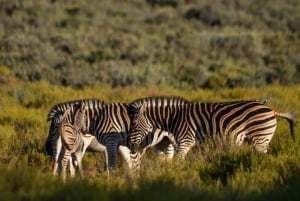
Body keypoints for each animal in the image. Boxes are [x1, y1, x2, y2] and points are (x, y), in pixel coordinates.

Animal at [129, 96, 296, 161]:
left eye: (134, 125)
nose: (131, 145)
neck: (173, 119)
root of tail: (271, 110)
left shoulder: (185, 141)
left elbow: (178, 162)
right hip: (263, 139)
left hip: (260, 139)